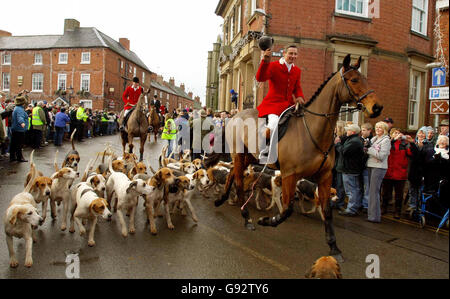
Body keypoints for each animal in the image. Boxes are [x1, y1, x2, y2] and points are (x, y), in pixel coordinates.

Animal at [213, 55, 382, 262]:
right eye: (354, 80)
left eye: (365, 79)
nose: (377, 107)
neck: (314, 130)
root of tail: (236, 115)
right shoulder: (289, 175)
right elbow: (286, 209)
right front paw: (266, 220)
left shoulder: (325, 177)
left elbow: (326, 211)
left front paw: (334, 247)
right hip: (238, 155)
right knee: (237, 181)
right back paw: (247, 217)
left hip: (249, 157)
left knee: (231, 175)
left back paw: (221, 200)